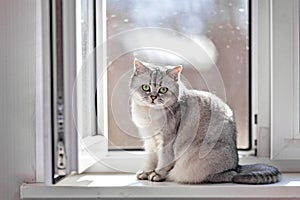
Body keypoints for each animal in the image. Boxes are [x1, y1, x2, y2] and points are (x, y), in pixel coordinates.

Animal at [129, 58, 282, 184]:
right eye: (146, 87)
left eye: (163, 90)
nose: (153, 97)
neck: (148, 113)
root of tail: (236, 165)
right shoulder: (149, 140)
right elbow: (151, 160)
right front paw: (146, 173)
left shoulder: (166, 141)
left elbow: (163, 161)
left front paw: (157, 175)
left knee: (230, 176)